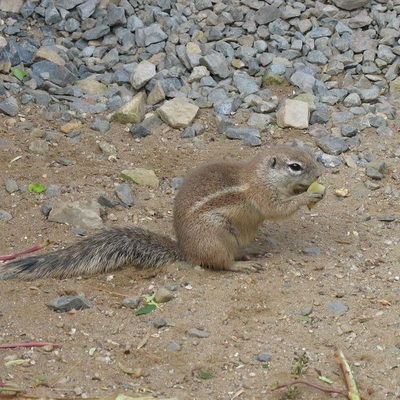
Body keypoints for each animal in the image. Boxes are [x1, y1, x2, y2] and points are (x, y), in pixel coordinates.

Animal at [0, 145, 324, 280]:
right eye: (295, 166)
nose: (320, 172)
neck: (260, 174)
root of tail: (185, 251)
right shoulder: (261, 194)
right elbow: (277, 209)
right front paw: (310, 194)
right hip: (215, 239)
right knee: (219, 263)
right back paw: (242, 265)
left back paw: (249, 253)